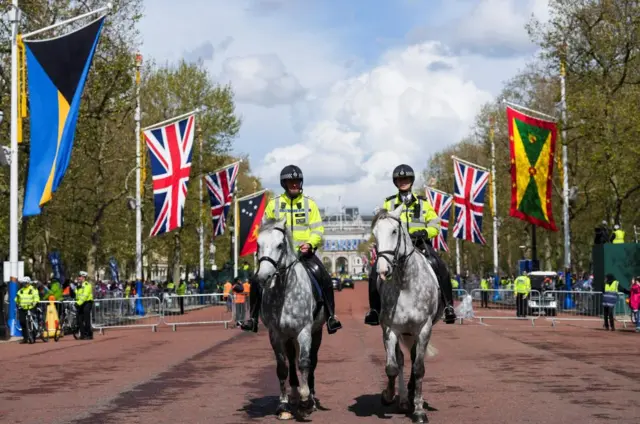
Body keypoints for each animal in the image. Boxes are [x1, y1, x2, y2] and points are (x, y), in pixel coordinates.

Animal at [254, 219, 324, 420]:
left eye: (280, 245)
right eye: (258, 244)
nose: (263, 277)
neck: (284, 292)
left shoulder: (305, 331)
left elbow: (305, 363)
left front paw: (306, 402)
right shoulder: (275, 334)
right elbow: (282, 367)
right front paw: (284, 405)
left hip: (316, 332)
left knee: (312, 361)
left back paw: (310, 396)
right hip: (288, 336)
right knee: (292, 360)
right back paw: (294, 394)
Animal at [372, 204, 442, 422]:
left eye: (394, 231)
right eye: (374, 233)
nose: (382, 270)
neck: (405, 284)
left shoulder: (424, 329)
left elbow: (419, 368)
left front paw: (419, 410)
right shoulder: (390, 329)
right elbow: (392, 367)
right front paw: (388, 395)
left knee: (413, 359)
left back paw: (411, 396)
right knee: (402, 360)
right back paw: (403, 399)